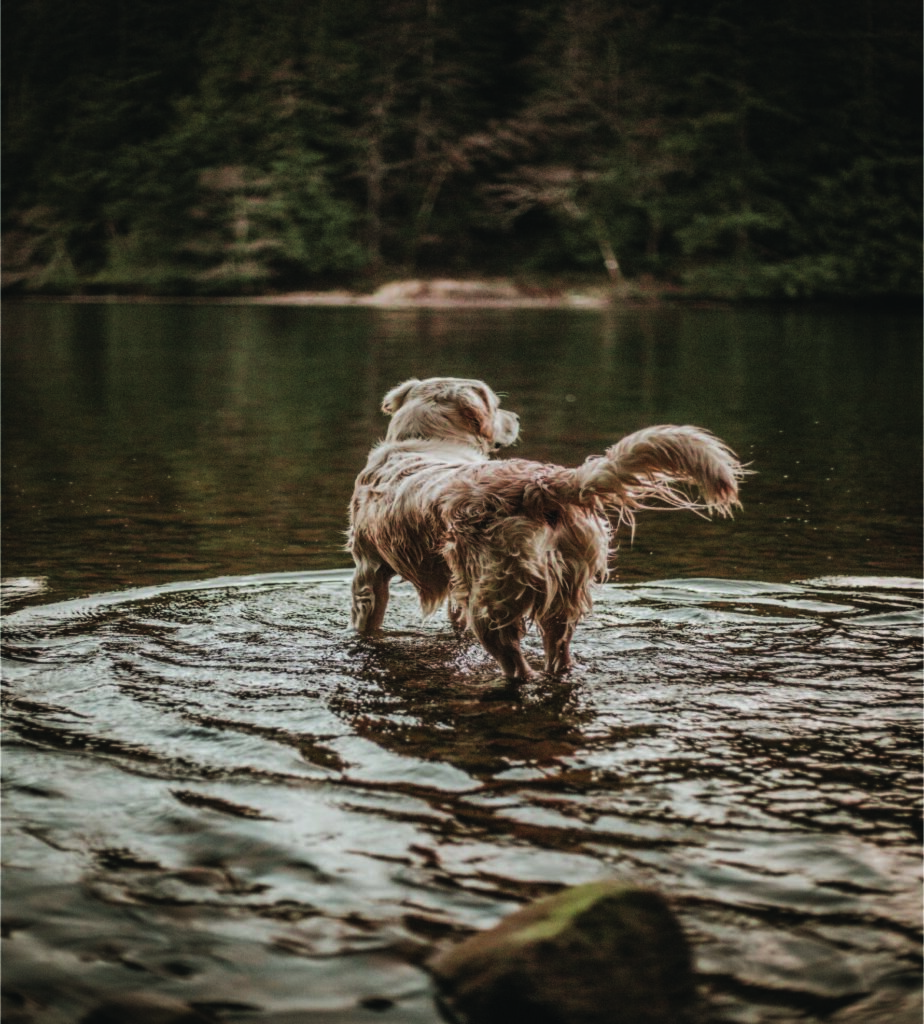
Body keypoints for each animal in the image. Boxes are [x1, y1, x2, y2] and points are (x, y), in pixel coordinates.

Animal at [348, 376, 745, 679]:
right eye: (496, 405)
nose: (515, 417)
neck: (428, 442)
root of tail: (543, 483)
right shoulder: (449, 580)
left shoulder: (368, 571)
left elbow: (366, 621)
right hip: (561, 596)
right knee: (558, 656)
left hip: (490, 604)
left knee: (518, 668)